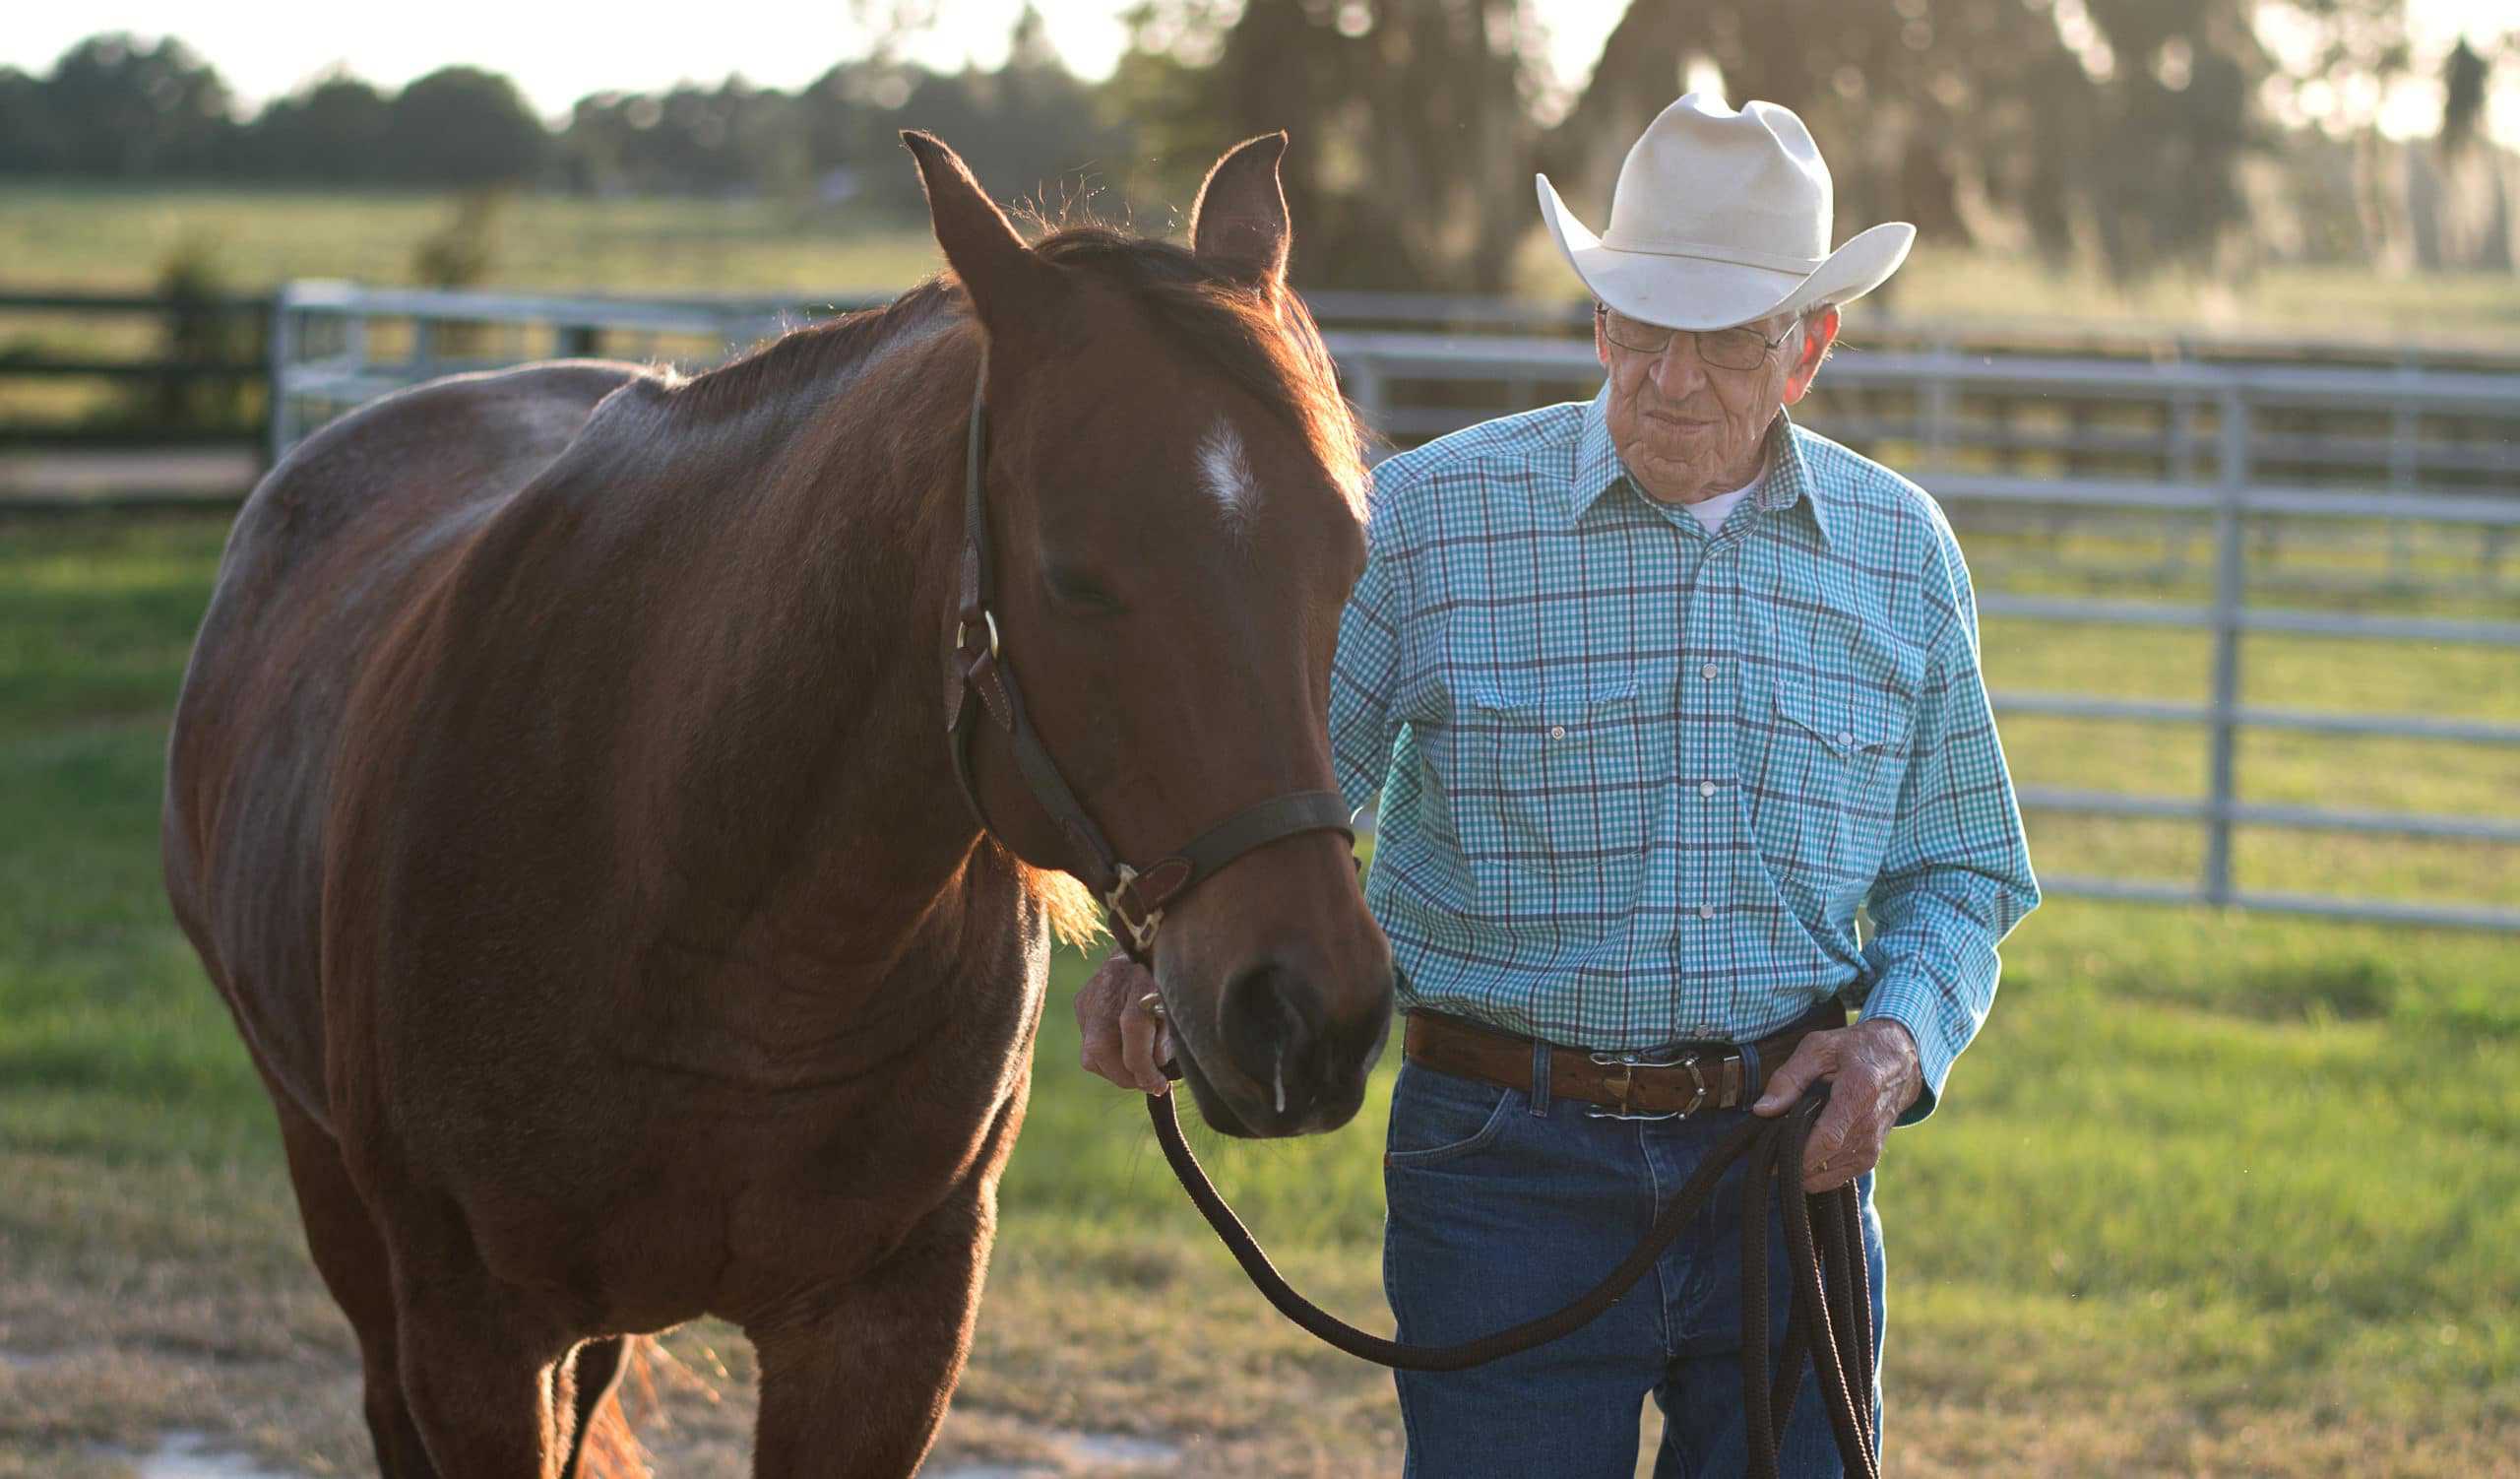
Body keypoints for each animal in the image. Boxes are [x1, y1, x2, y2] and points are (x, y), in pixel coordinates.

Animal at [160, 130, 1396, 1478]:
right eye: (1073, 575)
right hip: (333, 1189)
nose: (1310, 1013)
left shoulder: (885, 1333)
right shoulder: (472, 1337)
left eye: (1348, 558)